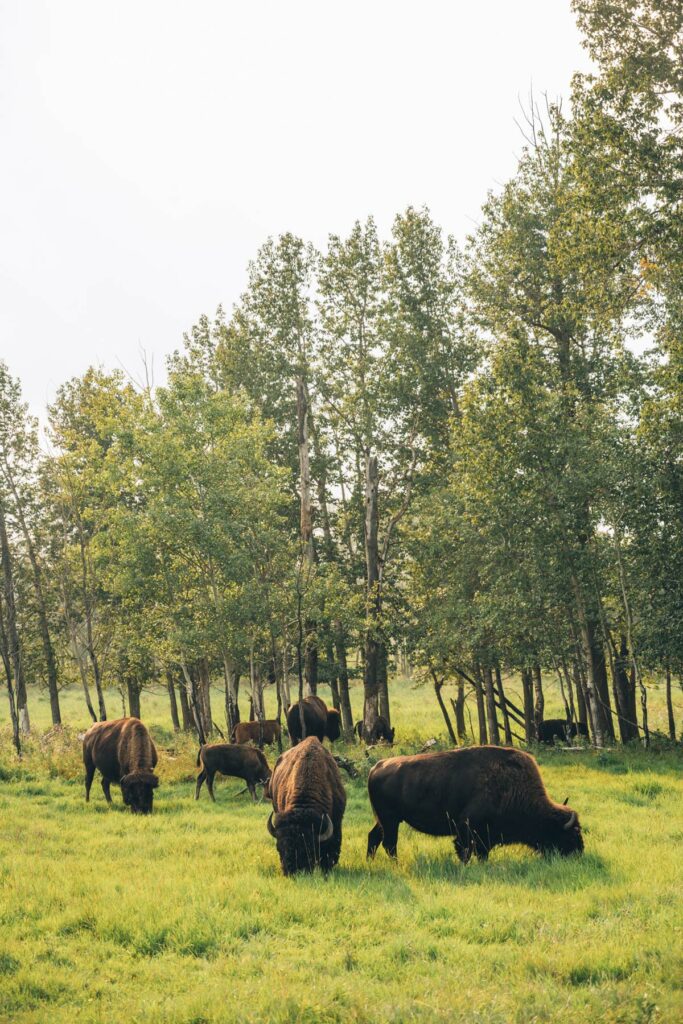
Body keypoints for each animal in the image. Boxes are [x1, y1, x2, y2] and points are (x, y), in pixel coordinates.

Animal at [366, 745, 585, 864]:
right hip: (390, 820)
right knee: (389, 843)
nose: (580, 852)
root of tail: (377, 766)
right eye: (573, 833)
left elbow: (480, 853)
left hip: (384, 820)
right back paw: (395, 864)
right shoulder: (468, 829)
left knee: (375, 837)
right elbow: (466, 851)